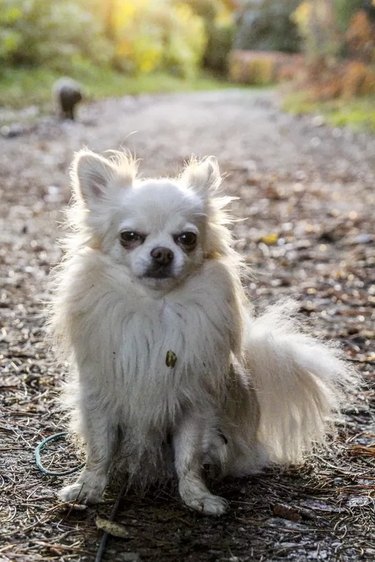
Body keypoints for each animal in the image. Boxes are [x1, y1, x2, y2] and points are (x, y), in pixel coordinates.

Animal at [50, 149, 356, 512]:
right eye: (129, 237)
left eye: (187, 238)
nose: (162, 253)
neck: (156, 310)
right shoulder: (100, 398)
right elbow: (100, 450)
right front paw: (88, 488)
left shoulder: (194, 403)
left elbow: (188, 457)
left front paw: (197, 497)